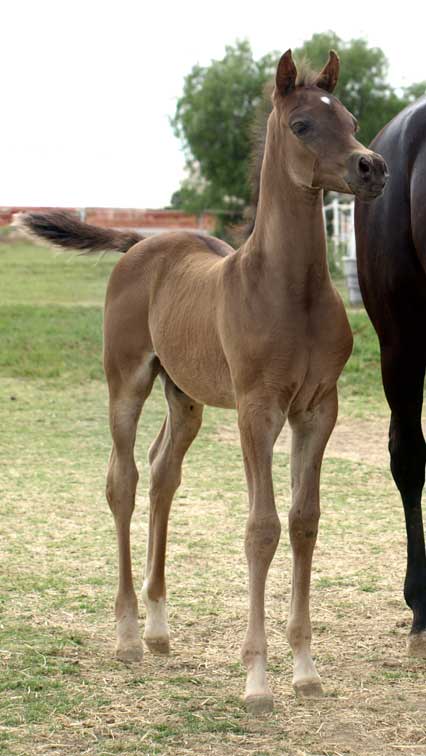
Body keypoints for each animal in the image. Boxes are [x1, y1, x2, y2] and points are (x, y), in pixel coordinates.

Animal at [18, 50, 388, 712]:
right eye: (302, 125)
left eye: (350, 118)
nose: (371, 166)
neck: (290, 290)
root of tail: (141, 242)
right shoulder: (257, 409)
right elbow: (262, 529)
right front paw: (258, 681)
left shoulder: (319, 409)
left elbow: (305, 521)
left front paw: (305, 671)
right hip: (127, 381)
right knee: (123, 480)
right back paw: (128, 635)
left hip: (184, 396)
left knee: (164, 474)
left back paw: (159, 630)